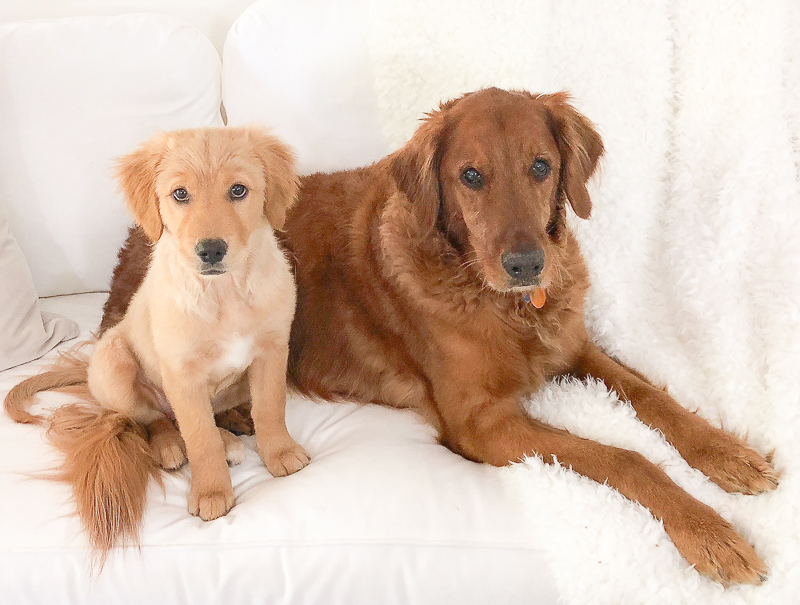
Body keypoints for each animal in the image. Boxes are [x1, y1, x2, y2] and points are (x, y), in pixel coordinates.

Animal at [3, 126, 310, 560]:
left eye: (238, 190)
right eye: (180, 194)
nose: (211, 250)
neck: (224, 293)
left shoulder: (272, 350)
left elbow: (270, 408)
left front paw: (280, 453)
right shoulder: (181, 375)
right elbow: (198, 437)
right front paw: (212, 491)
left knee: (214, 412)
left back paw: (234, 422)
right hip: (114, 367)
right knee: (155, 419)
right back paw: (174, 446)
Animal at [104, 87, 776, 584]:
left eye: (541, 166)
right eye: (470, 176)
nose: (527, 265)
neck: (507, 305)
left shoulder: (575, 347)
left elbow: (655, 397)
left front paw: (728, 454)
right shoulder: (481, 424)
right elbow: (623, 456)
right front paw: (710, 532)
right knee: (143, 401)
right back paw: (187, 439)